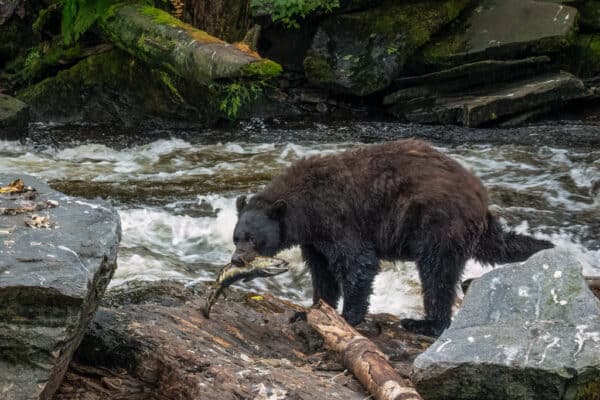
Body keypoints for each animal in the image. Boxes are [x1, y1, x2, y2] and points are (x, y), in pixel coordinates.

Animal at [230, 139, 552, 336]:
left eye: (252, 238)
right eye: (236, 237)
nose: (236, 259)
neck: (306, 210)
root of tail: (481, 199)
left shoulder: (339, 220)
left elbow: (359, 263)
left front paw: (347, 317)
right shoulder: (315, 240)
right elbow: (322, 273)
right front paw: (310, 311)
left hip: (439, 226)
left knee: (437, 275)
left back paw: (425, 323)